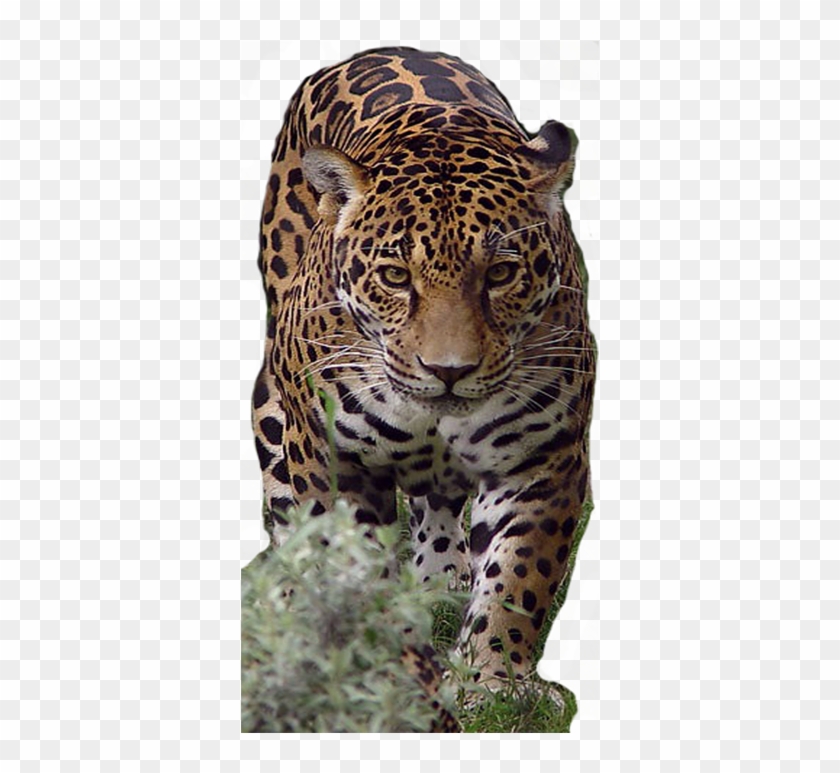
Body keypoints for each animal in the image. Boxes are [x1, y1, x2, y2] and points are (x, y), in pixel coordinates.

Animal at [252, 47, 596, 697]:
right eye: (394, 277)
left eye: (500, 274)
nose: (448, 371)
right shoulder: (331, 456)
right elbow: (350, 561)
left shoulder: (544, 456)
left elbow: (520, 573)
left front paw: (491, 677)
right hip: (272, 405)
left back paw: (441, 579)